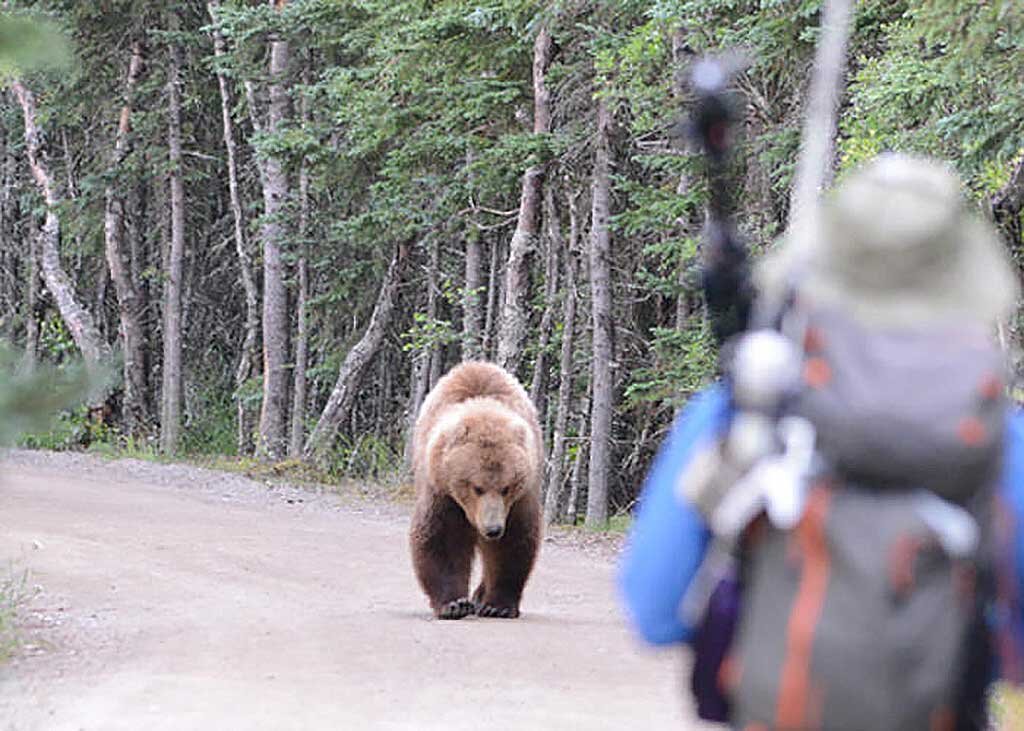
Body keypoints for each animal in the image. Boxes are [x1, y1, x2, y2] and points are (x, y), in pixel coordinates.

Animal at [411, 362, 548, 618]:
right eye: (477, 487)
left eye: (506, 487)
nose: (493, 529)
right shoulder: (442, 491)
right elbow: (442, 539)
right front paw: (453, 604)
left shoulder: (518, 500)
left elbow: (512, 543)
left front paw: (498, 605)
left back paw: (480, 596)